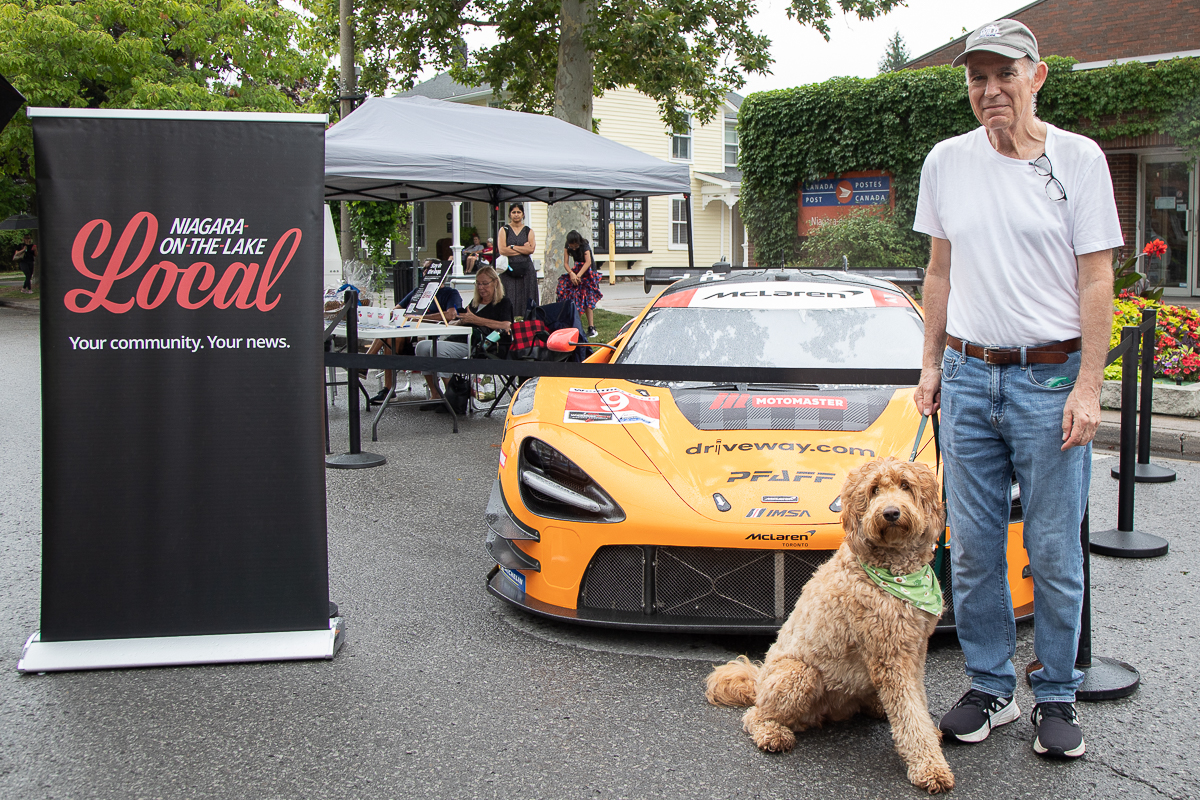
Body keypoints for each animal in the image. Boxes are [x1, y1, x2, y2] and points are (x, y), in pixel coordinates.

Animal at [706, 457, 954, 794]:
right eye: (874, 490)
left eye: (905, 485)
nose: (890, 512)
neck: (896, 572)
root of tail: (758, 681)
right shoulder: (889, 657)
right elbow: (909, 713)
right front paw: (929, 766)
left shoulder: (914, 649)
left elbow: (917, 702)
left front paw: (930, 737)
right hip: (798, 674)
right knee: (754, 715)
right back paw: (772, 733)